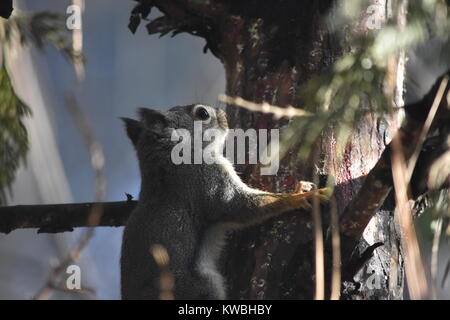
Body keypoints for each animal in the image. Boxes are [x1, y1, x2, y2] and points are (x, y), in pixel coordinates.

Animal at [121, 104, 328, 298]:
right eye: (203, 113)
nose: (224, 115)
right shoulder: (208, 181)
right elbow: (242, 207)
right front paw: (298, 197)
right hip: (200, 287)